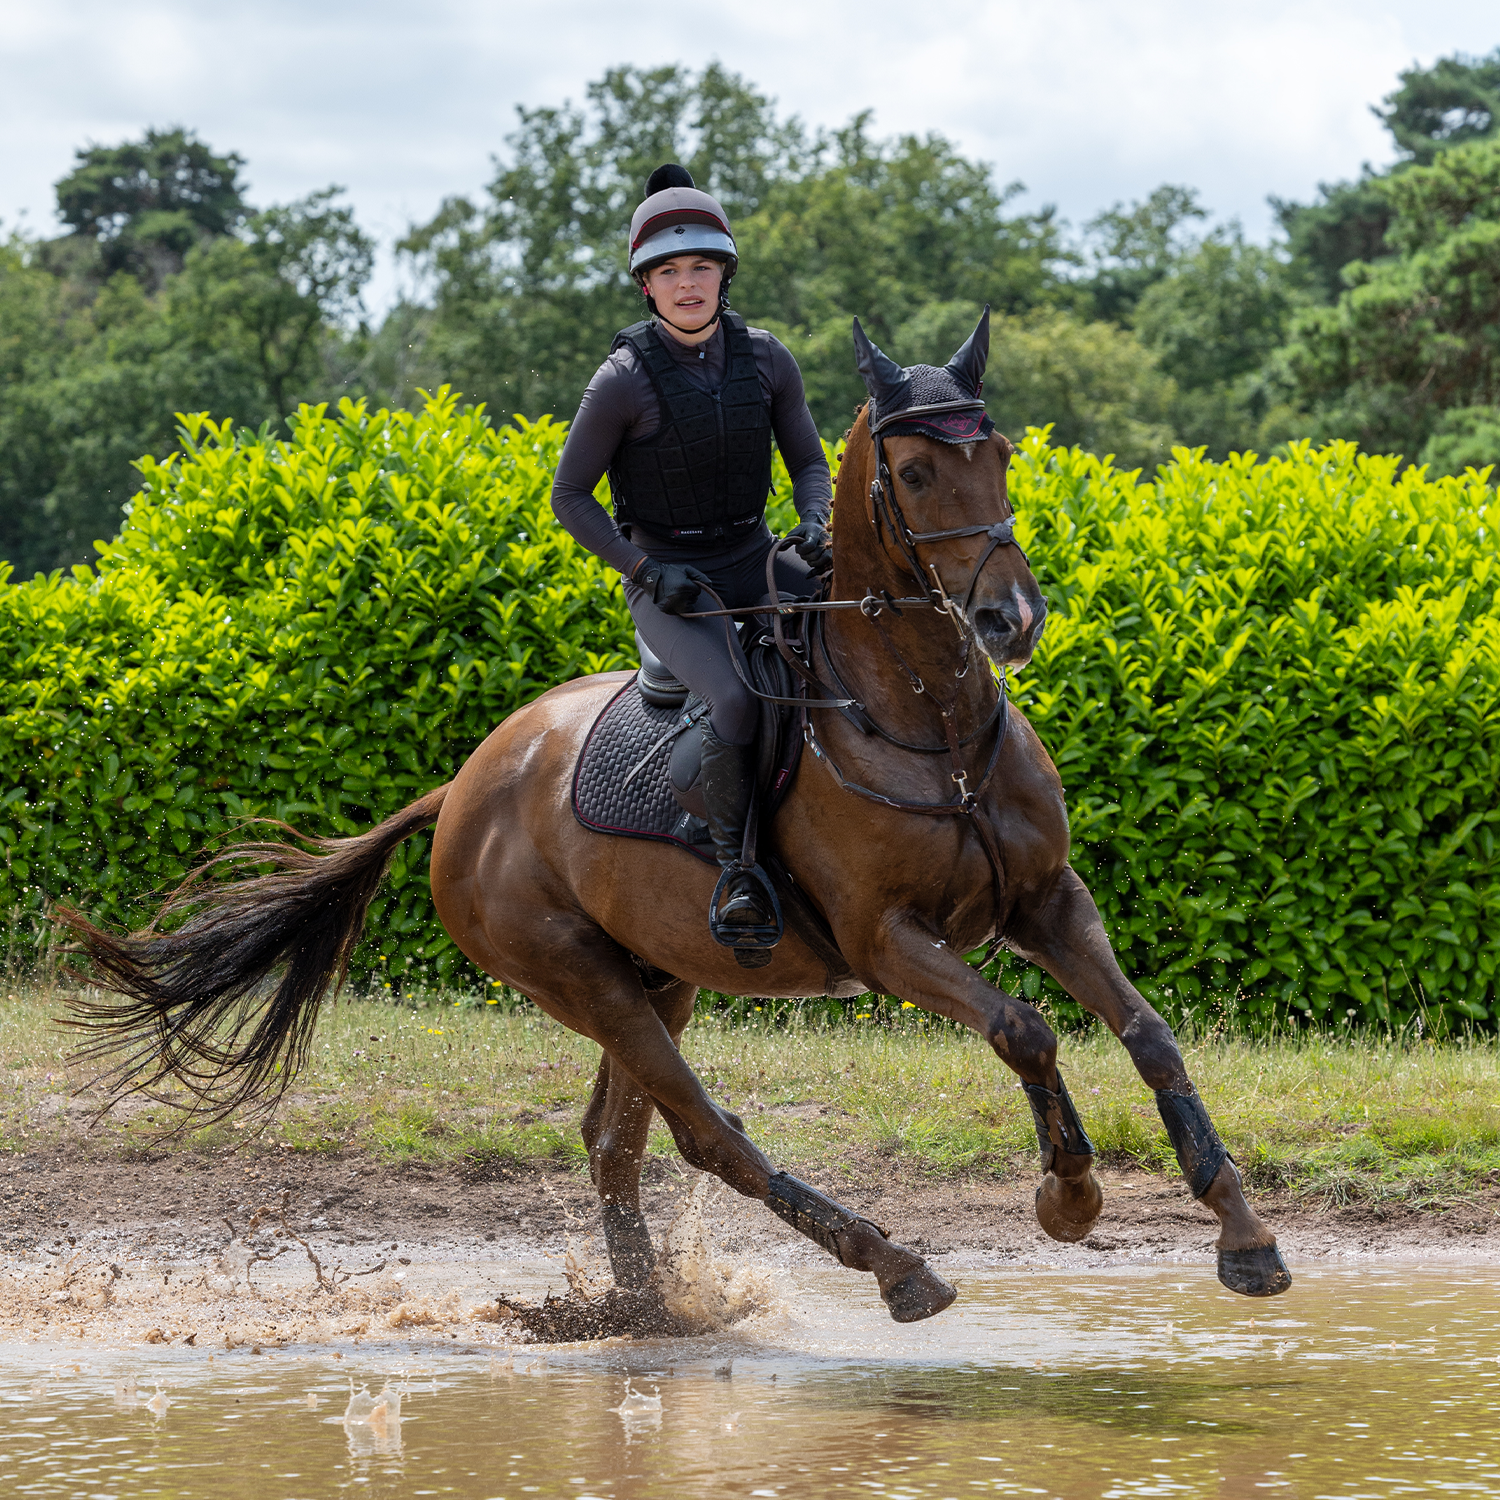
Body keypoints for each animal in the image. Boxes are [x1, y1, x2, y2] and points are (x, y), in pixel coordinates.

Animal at [61, 313, 1290, 1314]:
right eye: (915, 470)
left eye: (996, 454)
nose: (1009, 619)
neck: (926, 721)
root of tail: (464, 789)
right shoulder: (888, 942)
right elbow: (1026, 1029)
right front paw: (1069, 1197)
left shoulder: (1044, 900)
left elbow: (1148, 1033)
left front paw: (1245, 1238)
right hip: (579, 977)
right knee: (704, 1137)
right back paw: (890, 1270)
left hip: (659, 976)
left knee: (616, 1142)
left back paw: (648, 1312)